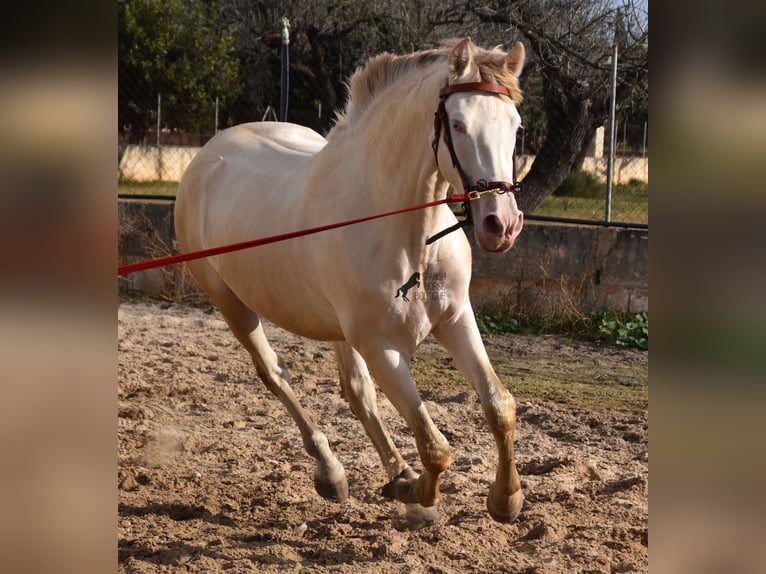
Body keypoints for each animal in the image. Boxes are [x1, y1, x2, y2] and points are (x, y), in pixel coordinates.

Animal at [176, 37, 528, 528]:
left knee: (356, 392)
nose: (501, 225)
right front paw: (418, 495)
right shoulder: (381, 346)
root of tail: (208, 154)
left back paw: (397, 476)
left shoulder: (455, 320)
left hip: (337, 328)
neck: (405, 233)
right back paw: (333, 473)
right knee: (275, 374)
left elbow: (499, 405)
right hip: (232, 305)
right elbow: (435, 446)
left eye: (515, 126)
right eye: (458, 123)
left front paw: (505, 500)